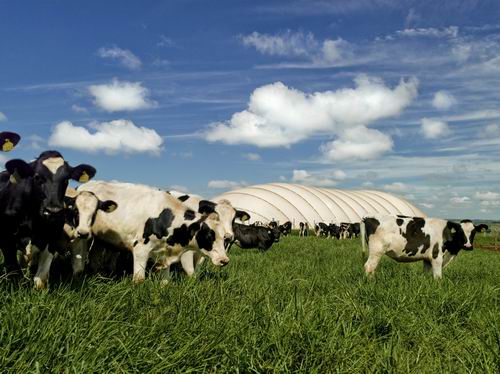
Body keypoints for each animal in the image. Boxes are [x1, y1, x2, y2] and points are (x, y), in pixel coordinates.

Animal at [0, 150, 96, 288]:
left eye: (66, 179)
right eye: (37, 177)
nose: (53, 211)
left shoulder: (51, 240)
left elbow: (41, 279)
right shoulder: (6, 240)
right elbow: (14, 272)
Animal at [74, 181, 232, 284]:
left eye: (224, 238)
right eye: (209, 235)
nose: (224, 260)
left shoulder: (165, 253)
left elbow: (166, 281)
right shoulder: (140, 249)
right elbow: (139, 279)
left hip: (101, 239)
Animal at [360, 215, 488, 280]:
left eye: (474, 232)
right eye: (460, 232)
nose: (468, 246)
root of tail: (369, 218)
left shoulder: (427, 259)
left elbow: (427, 274)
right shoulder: (437, 256)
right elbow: (438, 277)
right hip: (377, 251)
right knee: (369, 267)